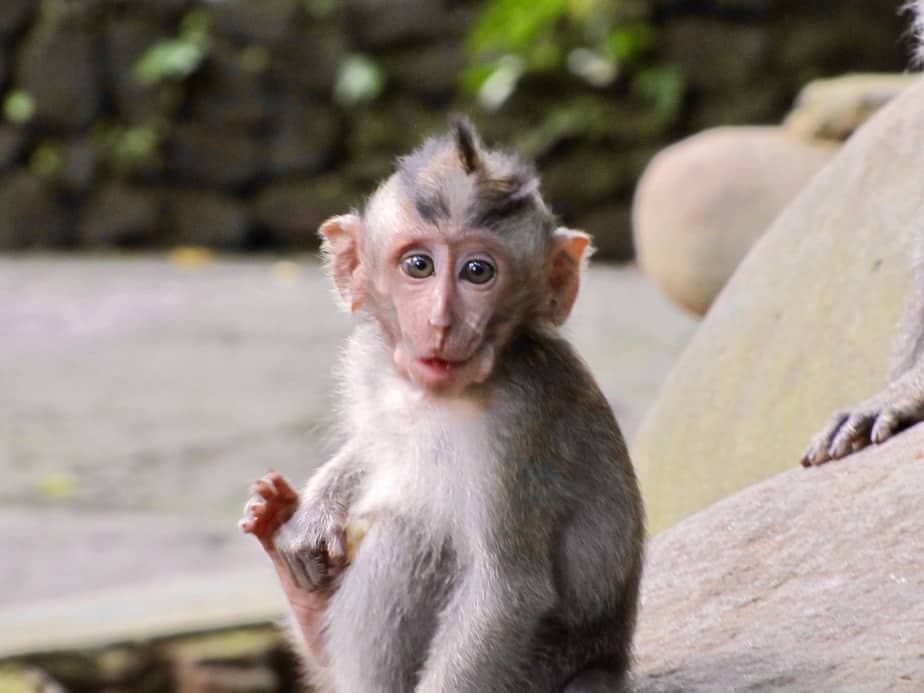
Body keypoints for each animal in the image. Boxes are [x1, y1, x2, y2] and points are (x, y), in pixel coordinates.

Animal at [240, 121, 644, 688]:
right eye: (419, 265)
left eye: (477, 271)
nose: (440, 322)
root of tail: (608, 658)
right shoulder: (368, 363)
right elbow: (369, 445)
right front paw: (315, 514)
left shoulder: (520, 421)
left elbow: (505, 593)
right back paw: (303, 598)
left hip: (538, 670)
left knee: (406, 540)